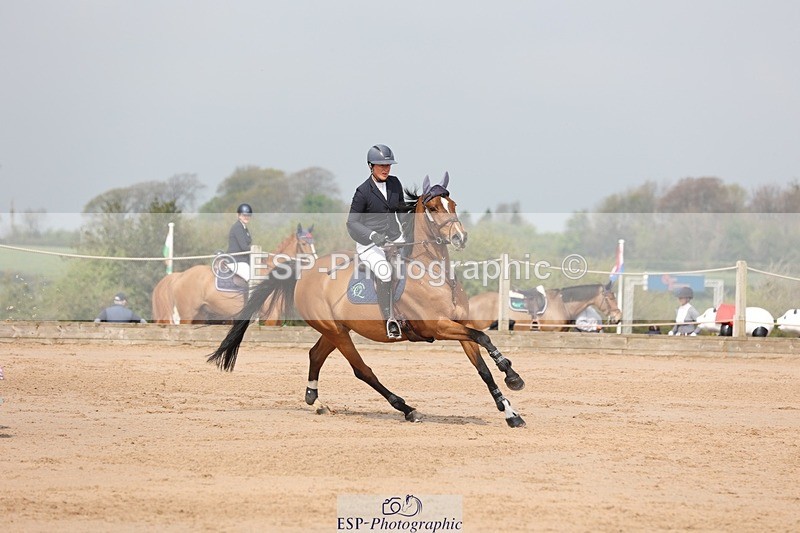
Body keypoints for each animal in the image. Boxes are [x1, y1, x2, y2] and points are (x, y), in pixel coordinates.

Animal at [151, 224, 317, 324]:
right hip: (187, 314)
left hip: (201, 314)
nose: (315, 262)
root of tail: (180, 276)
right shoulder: (271, 315)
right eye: (303, 244)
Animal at [209, 173, 527, 428]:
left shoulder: (460, 323)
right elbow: (484, 337)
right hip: (337, 332)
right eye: (434, 208)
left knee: (315, 355)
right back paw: (407, 408)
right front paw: (510, 373)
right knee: (362, 370)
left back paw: (315, 399)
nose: (460, 237)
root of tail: (304, 272)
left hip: (336, 330)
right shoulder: (437, 326)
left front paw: (511, 411)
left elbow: (482, 368)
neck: (434, 273)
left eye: (454, 205)